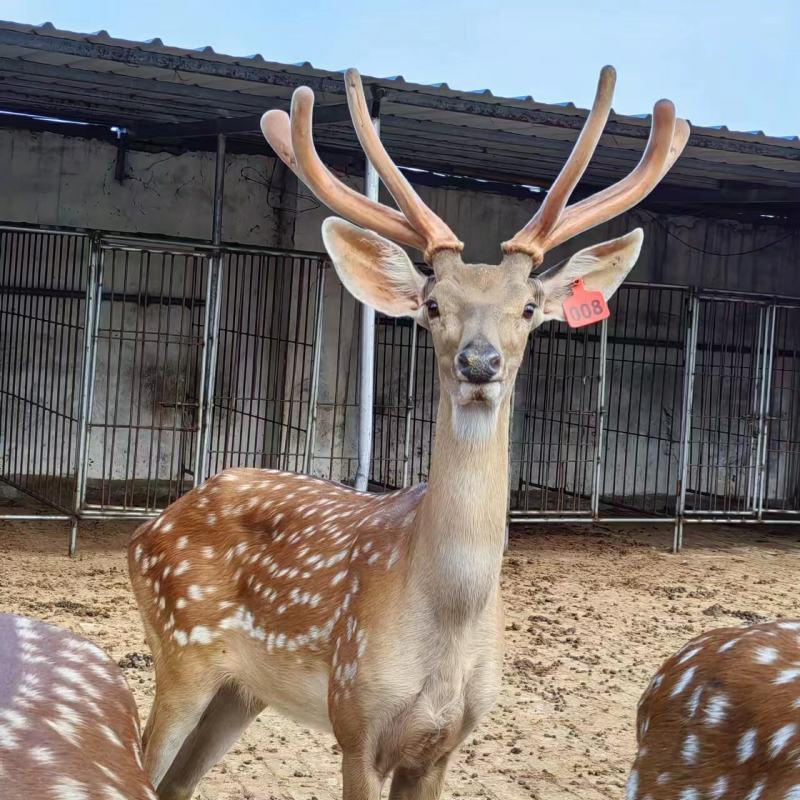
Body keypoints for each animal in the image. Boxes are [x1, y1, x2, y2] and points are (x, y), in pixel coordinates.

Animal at [128, 65, 689, 800]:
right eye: (432, 306)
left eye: (529, 308)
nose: (478, 362)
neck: (449, 625)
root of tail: (147, 529)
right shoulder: (356, 720)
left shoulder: (446, 743)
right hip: (180, 649)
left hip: (239, 691)